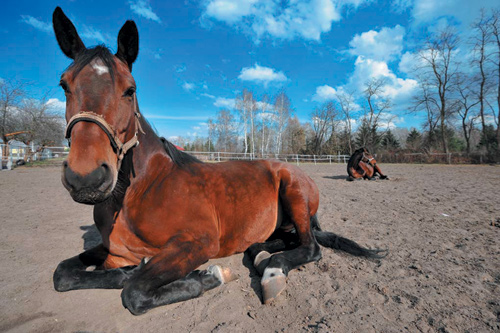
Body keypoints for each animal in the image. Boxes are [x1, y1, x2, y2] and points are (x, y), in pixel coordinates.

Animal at [51, 7, 386, 314]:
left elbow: (134, 292)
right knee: (273, 243)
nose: (86, 178)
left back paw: (272, 272)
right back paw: (261, 256)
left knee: (310, 247)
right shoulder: (110, 250)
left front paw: (210, 275)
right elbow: (64, 274)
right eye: (64, 85)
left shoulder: (198, 242)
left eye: (129, 89)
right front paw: (128, 270)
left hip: (294, 194)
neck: (140, 192)